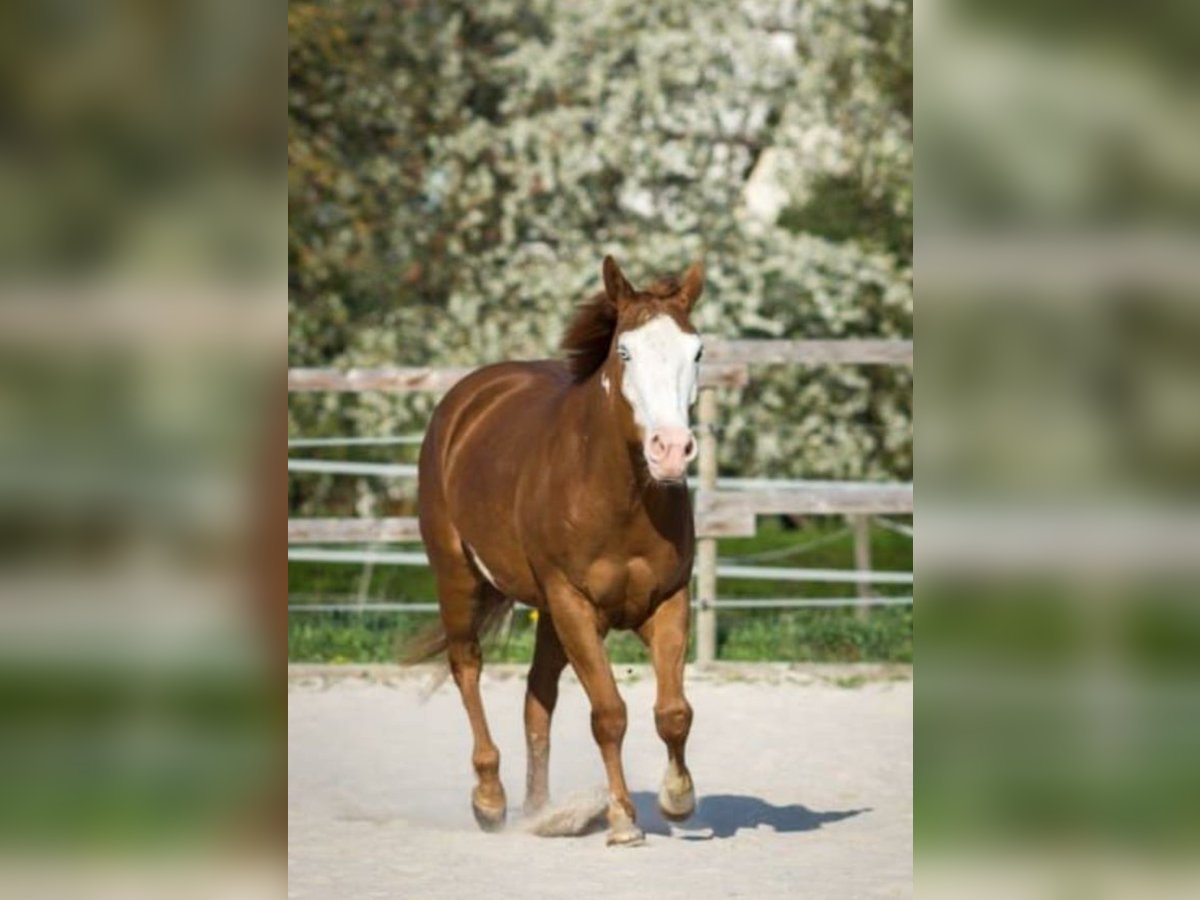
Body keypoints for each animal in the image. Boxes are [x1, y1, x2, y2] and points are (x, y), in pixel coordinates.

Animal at [412, 255, 705, 846]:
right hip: (458, 578)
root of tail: (465, 401)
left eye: (697, 352)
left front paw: (679, 800)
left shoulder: (667, 601)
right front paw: (622, 820)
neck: (620, 499)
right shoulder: (575, 605)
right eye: (625, 352)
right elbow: (609, 714)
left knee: (536, 695)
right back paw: (491, 800)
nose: (669, 450)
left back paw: (539, 810)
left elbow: (673, 712)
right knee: (467, 668)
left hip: (546, 612)